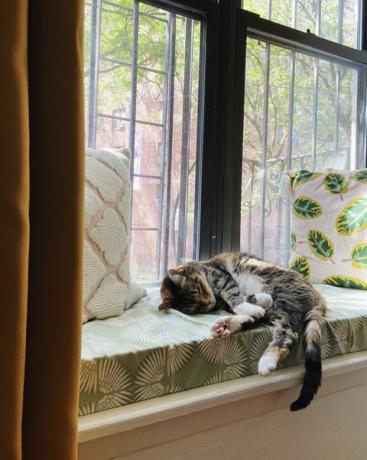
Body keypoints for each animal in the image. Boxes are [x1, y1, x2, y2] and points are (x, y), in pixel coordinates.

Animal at [160, 250, 326, 412]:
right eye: (198, 308)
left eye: (198, 289)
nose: (209, 302)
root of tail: (318, 297)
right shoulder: (223, 299)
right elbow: (243, 300)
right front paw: (253, 306)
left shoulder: (220, 276)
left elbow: (233, 294)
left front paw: (250, 303)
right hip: (279, 305)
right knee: (263, 317)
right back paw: (227, 325)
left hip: (284, 296)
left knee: (288, 333)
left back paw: (268, 359)